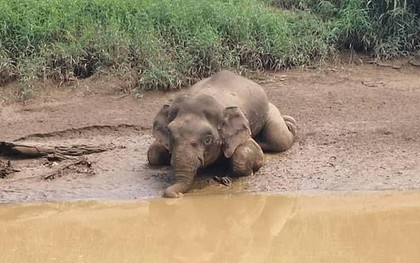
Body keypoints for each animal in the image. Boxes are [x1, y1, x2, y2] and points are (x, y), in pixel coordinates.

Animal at [148, 70, 298, 198]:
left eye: (208, 139)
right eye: (169, 134)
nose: (178, 195)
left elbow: (246, 152)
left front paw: (247, 173)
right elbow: (153, 153)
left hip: (268, 111)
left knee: (279, 138)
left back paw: (291, 124)